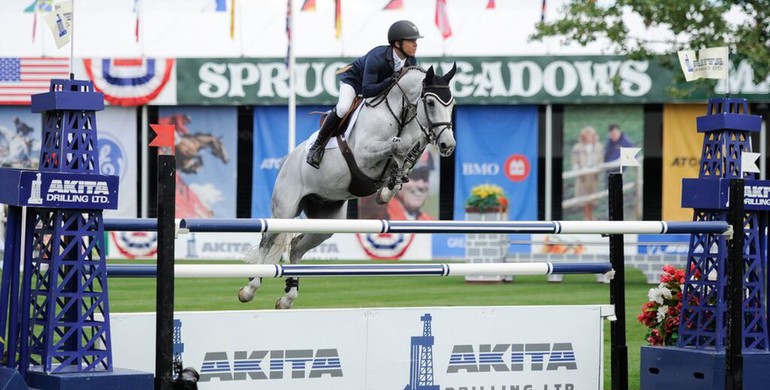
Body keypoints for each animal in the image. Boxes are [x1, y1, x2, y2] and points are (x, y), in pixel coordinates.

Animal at [238, 64, 456, 308]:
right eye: (431, 103)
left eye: (452, 104)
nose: (448, 145)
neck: (401, 113)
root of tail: (287, 160)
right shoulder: (363, 155)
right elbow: (397, 146)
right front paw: (392, 178)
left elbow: (409, 154)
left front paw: (389, 188)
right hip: (285, 210)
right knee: (268, 241)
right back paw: (250, 288)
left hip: (325, 221)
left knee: (296, 246)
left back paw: (287, 298)